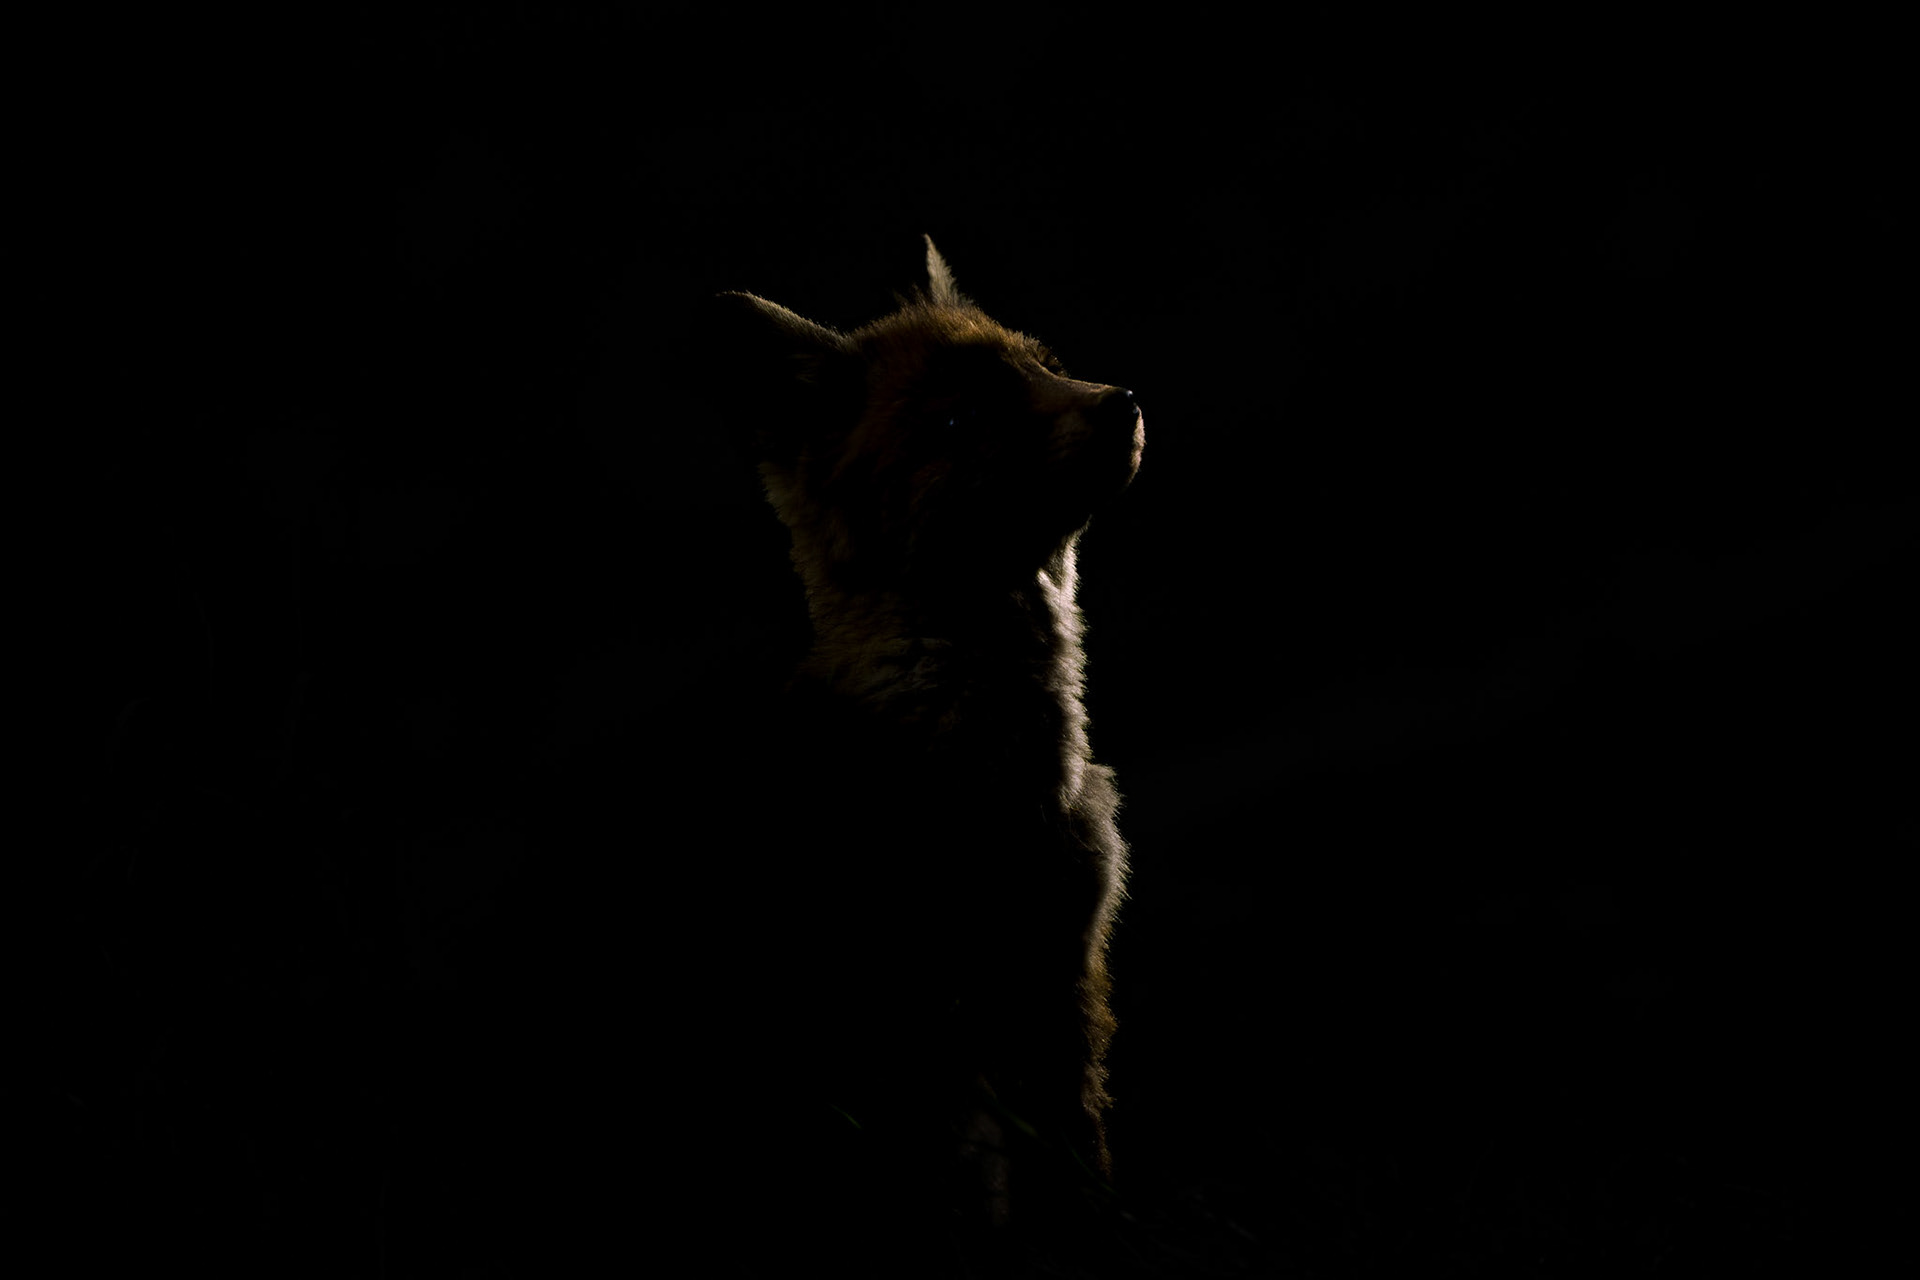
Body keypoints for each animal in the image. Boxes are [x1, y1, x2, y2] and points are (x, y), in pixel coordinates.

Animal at [712, 237, 1142, 1241]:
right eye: (959, 416)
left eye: (1044, 367)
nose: (1120, 402)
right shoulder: (900, 1016)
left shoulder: (1060, 976)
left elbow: (1081, 1172)